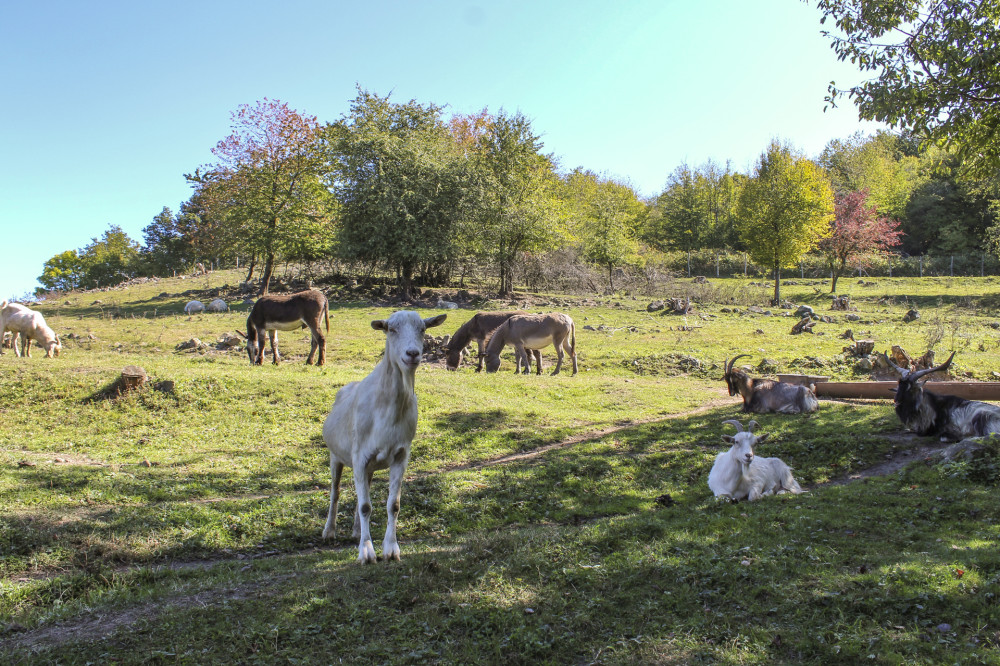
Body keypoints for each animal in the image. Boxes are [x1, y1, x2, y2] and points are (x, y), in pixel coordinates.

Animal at [322, 308, 448, 564]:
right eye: (391, 329)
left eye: (423, 329)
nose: (413, 353)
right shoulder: (359, 455)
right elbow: (365, 507)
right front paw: (366, 552)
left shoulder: (400, 455)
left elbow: (393, 505)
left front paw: (390, 549)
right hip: (336, 456)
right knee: (336, 492)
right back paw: (329, 531)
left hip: (368, 466)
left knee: (361, 493)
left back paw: (356, 531)